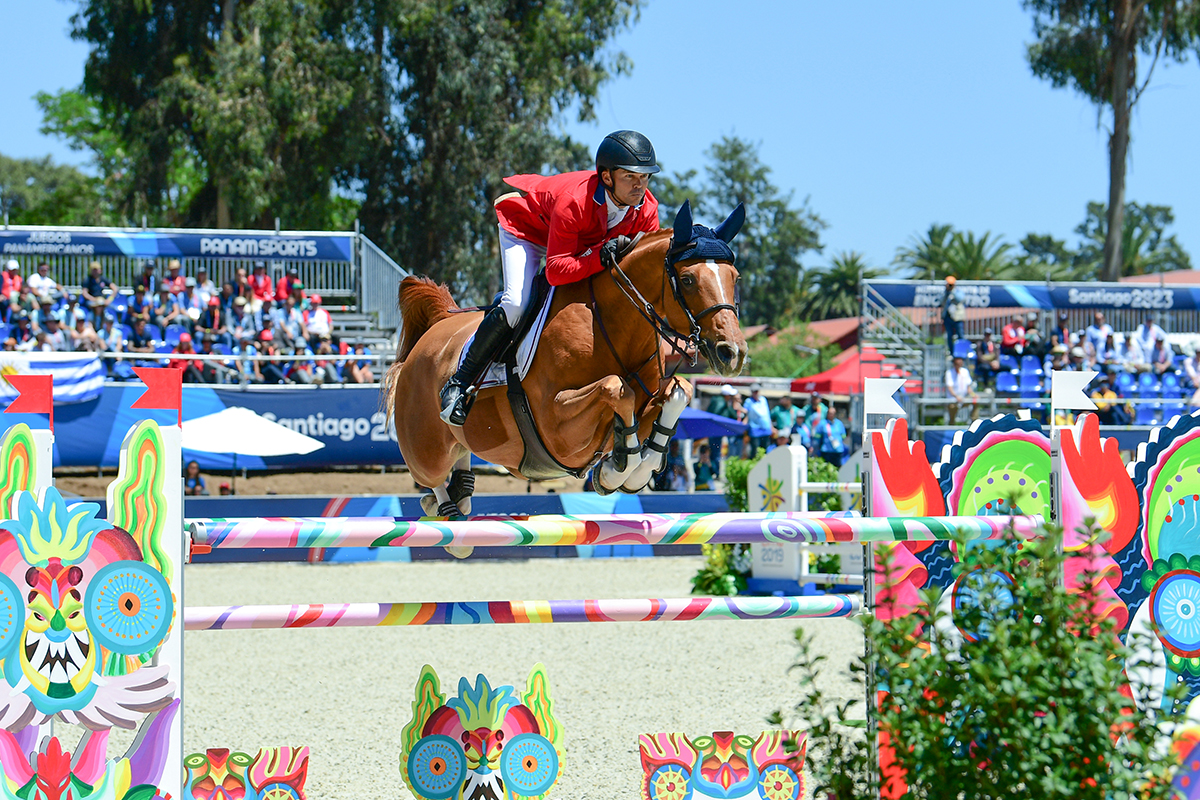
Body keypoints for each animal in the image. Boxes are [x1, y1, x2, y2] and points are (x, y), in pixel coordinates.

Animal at [384, 201, 744, 520]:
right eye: (688, 280)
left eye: (735, 278)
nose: (733, 352)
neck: (610, 325)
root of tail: (438, 323)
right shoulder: (557, 428)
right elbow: (616, 388)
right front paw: (616, 470)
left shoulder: (651, 396)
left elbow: (679, 390)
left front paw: (634, 469)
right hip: (425, 449)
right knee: (431, 481)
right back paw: (449, 510)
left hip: (459, 441)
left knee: (457, 464)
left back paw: (459, 494)